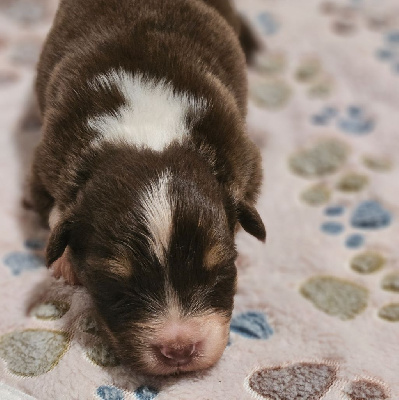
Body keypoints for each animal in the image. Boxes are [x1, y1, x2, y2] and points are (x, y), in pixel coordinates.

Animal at [30, 0, 266, 376]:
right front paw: (65, 261)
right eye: (117, 286)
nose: (179, 349)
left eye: (219, 271)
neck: (149, 134)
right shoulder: (46, 162)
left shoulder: (246, 160)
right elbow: (56, 207)